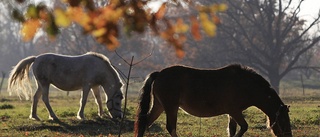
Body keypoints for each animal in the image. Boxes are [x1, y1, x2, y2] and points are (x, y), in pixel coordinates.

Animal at [134, 64, 292, 137]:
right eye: (283, 121)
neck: (244, 84)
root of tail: (160, 73)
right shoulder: (235, 111)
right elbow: (244, 127)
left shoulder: (232, 114)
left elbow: (232, 130)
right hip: (171, 107)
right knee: (170, 127)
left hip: (159, 106)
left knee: (145, 122)